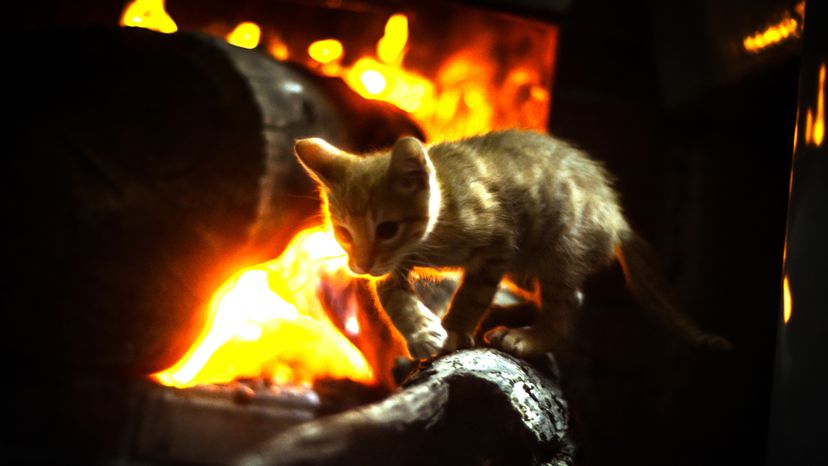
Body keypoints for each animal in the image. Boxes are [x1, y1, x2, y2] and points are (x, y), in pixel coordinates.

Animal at [292, 129, 732, 358]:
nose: (359, 266)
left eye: (387, 228)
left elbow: (471, 294)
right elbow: (394, 298)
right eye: (344, 233)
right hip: (527, 264)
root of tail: (614, 216)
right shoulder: (392, 267)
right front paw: (420, 331)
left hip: (559, 245)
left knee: (566, 303)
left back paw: (531, 337)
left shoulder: (498, 244)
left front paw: (454, 330)